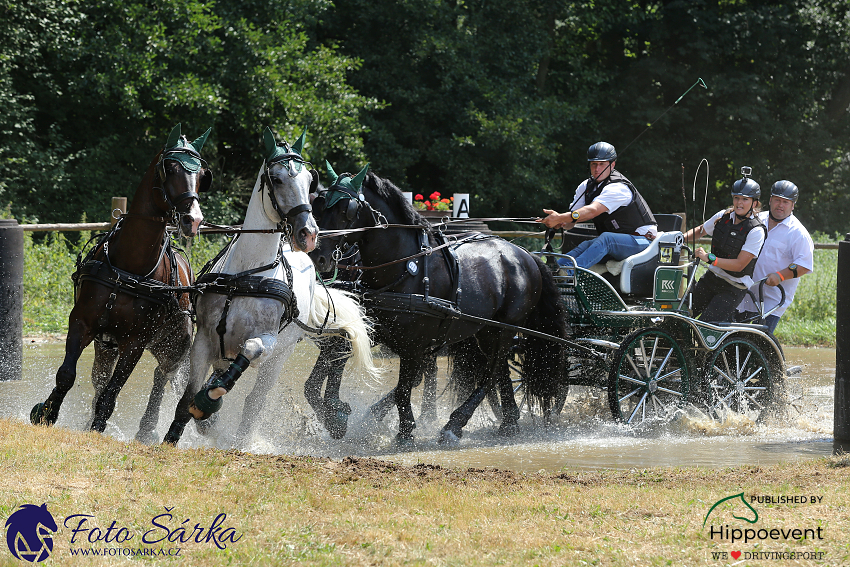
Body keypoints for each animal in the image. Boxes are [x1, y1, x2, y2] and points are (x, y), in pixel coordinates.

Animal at [32, 124, 212, 442]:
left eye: (202, 175)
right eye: (171, 167)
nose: (193, 219)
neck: (128, 267)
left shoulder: (135, 343)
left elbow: (112, 393)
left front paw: (97, 428)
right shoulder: (82, 323)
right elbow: (67, 375)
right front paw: (46, 414)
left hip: (173, 345)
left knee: (162, 376)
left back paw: (147, 429)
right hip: (107, 345)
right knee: (103, 378)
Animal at [164, 127, 376, 448]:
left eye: (309, 181)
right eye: (276, 179)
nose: (309, 233)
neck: (249, 274)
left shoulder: (268, 342)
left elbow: (249, 352)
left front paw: (209, 400)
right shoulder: (203, 341)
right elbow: (186, 398)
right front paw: (172, 436)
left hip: (278, 359)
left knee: (254, 402)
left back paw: (239, 438)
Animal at [308, 166, 568, 446]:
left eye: (347, 210)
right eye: (319, 206)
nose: (317, 256)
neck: (403, 266)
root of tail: (526, 254)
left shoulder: (413, 344)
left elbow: (403, 389)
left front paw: (405, 432)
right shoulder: (373, 328)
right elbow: (335, 360)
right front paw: (335, 416)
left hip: (507, 328)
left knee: (491, 372)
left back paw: (456, 423)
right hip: (488, 331)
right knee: (500, 373)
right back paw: (509, 422)